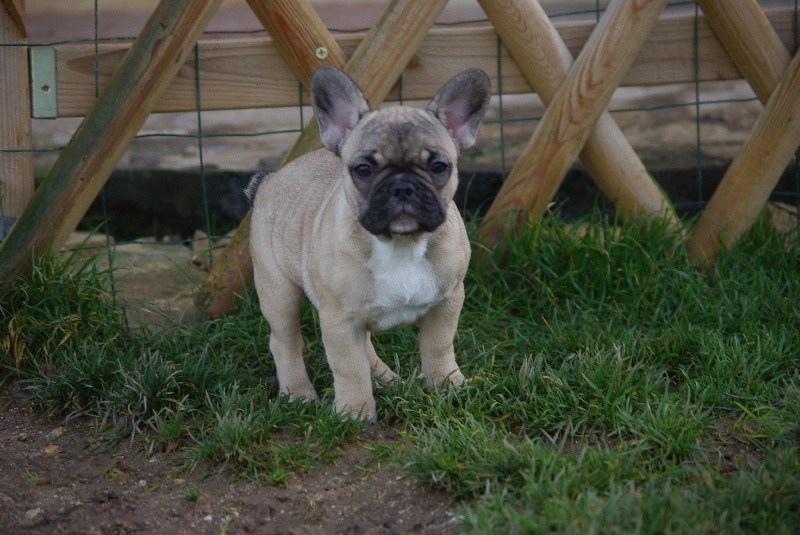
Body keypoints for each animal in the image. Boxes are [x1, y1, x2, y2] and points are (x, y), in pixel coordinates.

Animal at [247, 66, 490, 422]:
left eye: (438, 166)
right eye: (363, 169)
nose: (402, 187)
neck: (401, 244)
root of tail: (270, 179)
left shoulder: (447, 300)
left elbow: (439, 346)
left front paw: (447, 385)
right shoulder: (339, 319)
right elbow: (349, 367)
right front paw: (355, 413)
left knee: (366, 348)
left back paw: (388, 379)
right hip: (278, 289)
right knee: (285, 341)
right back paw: (298, 393)